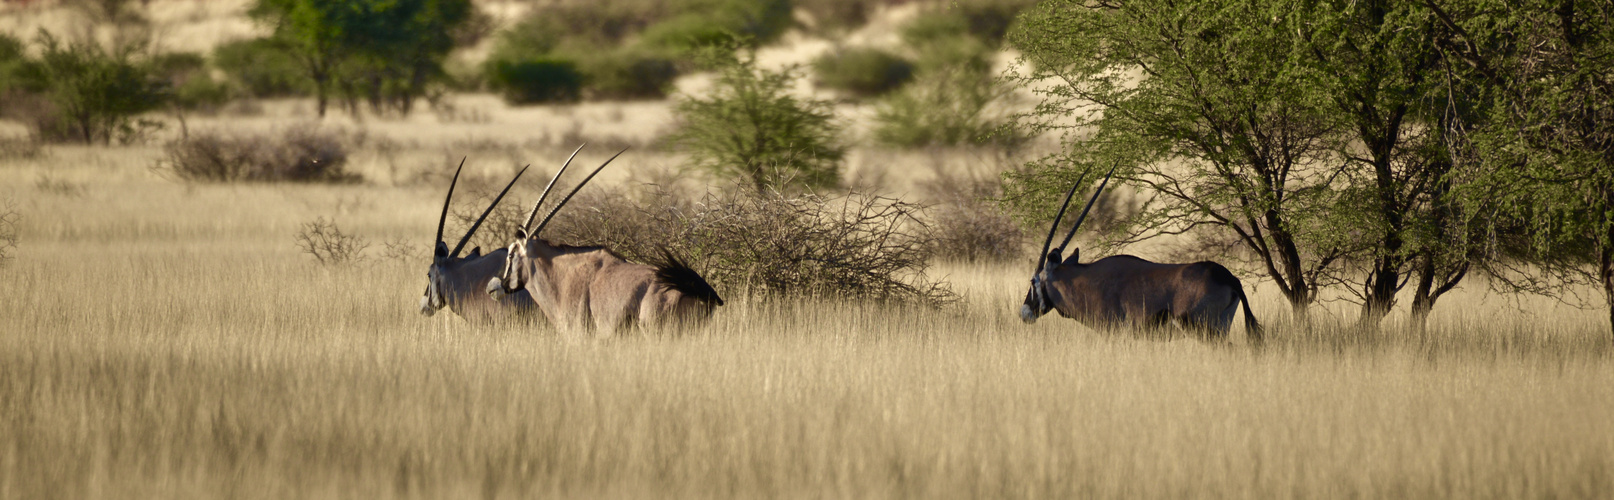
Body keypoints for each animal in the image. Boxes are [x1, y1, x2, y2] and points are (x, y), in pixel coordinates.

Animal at [1020, 168, 1258, 343]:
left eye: (1033, 281)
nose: (1024, 313)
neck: (1085, 280)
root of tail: (1227, 277)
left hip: (1203, 330)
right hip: (1220, 327)